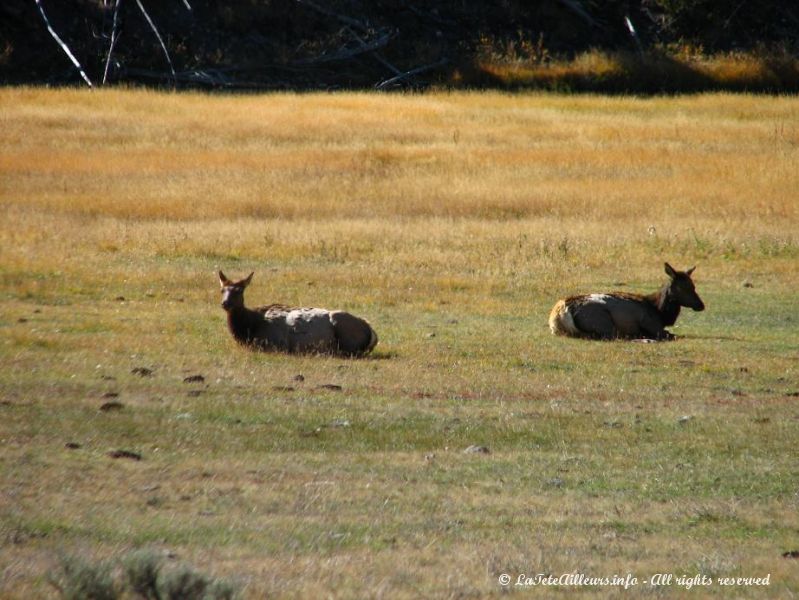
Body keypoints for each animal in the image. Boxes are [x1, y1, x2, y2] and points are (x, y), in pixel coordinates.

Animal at [220, 272, 380, 356]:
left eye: (239, 290)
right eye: (222, 290)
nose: (225, 303)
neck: (249, 328)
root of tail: (372, 331)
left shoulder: (277, 344)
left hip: (342, 327)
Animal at [552, 264, 708, 342]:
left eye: (693, 286)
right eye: (683, 287)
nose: (701, 305)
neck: (660, 312)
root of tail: (560, 313)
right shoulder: (651, 323)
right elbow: (673, 335)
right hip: (604, 322)